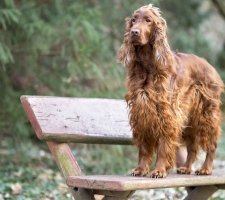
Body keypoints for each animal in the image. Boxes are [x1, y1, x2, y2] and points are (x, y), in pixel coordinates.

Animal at [118, 3, 224, 177]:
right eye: (134, 20)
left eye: (148, 20)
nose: (134, 32)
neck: (148, 66)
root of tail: (210, 66)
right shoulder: (142, 110)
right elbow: (144, 147)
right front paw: (141, 168)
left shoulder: (166, 113)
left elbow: (163, 144)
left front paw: (159, 170)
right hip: (189, 117)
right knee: (193, 146)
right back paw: (186, 168)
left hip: (206, 114)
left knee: (212, 143)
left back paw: (205, 168)